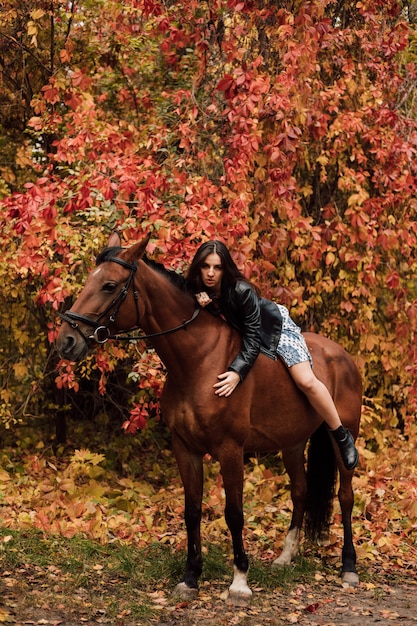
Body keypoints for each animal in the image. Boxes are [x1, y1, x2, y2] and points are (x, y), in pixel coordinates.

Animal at [55, 232, 360, 604]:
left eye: (110, 285)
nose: (67, 341)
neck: (199, 361)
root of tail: (342, 355)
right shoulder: (185, 449)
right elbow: (192, 511)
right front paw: (190, 577)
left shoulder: (231, 451)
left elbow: (234, 513)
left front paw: (240, 581)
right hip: (291, 442)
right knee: (300, 491)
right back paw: (286, 556)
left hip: (342, 434)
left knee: (345, 496)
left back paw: (349, 567)